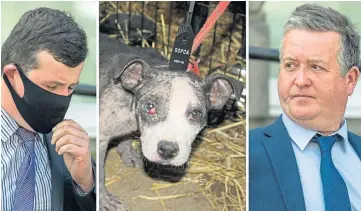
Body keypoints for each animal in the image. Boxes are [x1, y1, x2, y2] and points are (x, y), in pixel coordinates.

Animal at [98, 33, 233, 210]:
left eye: (195, 114)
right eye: (150, 107)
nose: (168, 150)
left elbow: (126, 139)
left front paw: (128, 154)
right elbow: (99, 174)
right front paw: (103, 200)